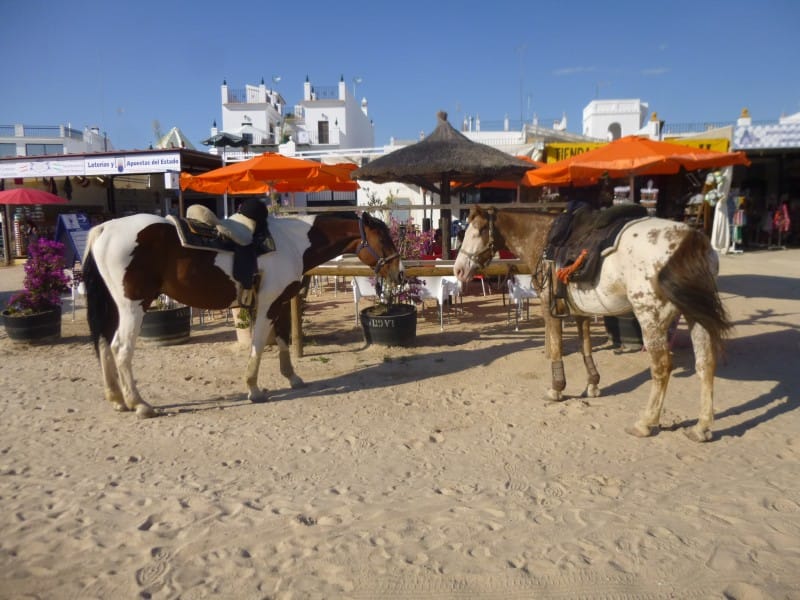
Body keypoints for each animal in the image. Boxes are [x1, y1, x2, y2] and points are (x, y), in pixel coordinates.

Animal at [81, 207, 400, 418]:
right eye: (384, 239)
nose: (398, 273)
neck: (292, 242)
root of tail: (104, 229)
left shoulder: (279, 303)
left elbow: (282, 339)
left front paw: (292, 378)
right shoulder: (269, 302)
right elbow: (258, 343)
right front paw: (254, 389)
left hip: (114, 307)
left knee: (104, 345)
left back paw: (117, 398)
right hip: (133, 306)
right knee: (121, 348)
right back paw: (140, 404)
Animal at [454, 206, 736, 440]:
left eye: (477, 231)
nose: (458, 270)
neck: (543, 239)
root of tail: (691, 239)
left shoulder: (549, 308)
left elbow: (556, 348)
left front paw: (556, 389)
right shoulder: (581, 312)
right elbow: (585, 347)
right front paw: (593, 384)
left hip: (650, 318)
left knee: (662, 367)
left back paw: (645, 423)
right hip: (695, 316)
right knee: (705, 364)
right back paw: (701, 428)